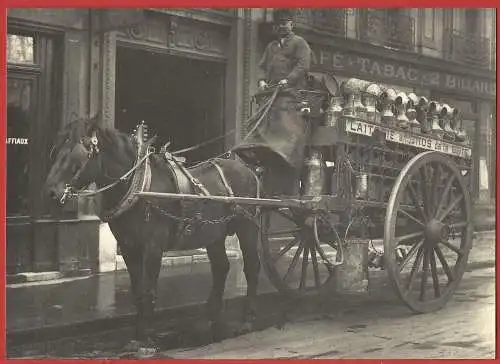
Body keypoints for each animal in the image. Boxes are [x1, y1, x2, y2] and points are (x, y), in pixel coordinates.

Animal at [44, 115, 262, 348]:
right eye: (56, 149)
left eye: (78, 152)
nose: (51, 192)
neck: (138, 186)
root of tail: (249, 170)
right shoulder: (129, 248)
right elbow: (137, 291)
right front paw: (138, 335)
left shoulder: (153, 247)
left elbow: (148, 291)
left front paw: (146, 338)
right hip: (213, 234)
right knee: (221, 267)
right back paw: (209, 318)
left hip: (247, 228)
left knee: (252, 268)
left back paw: (247, 320)